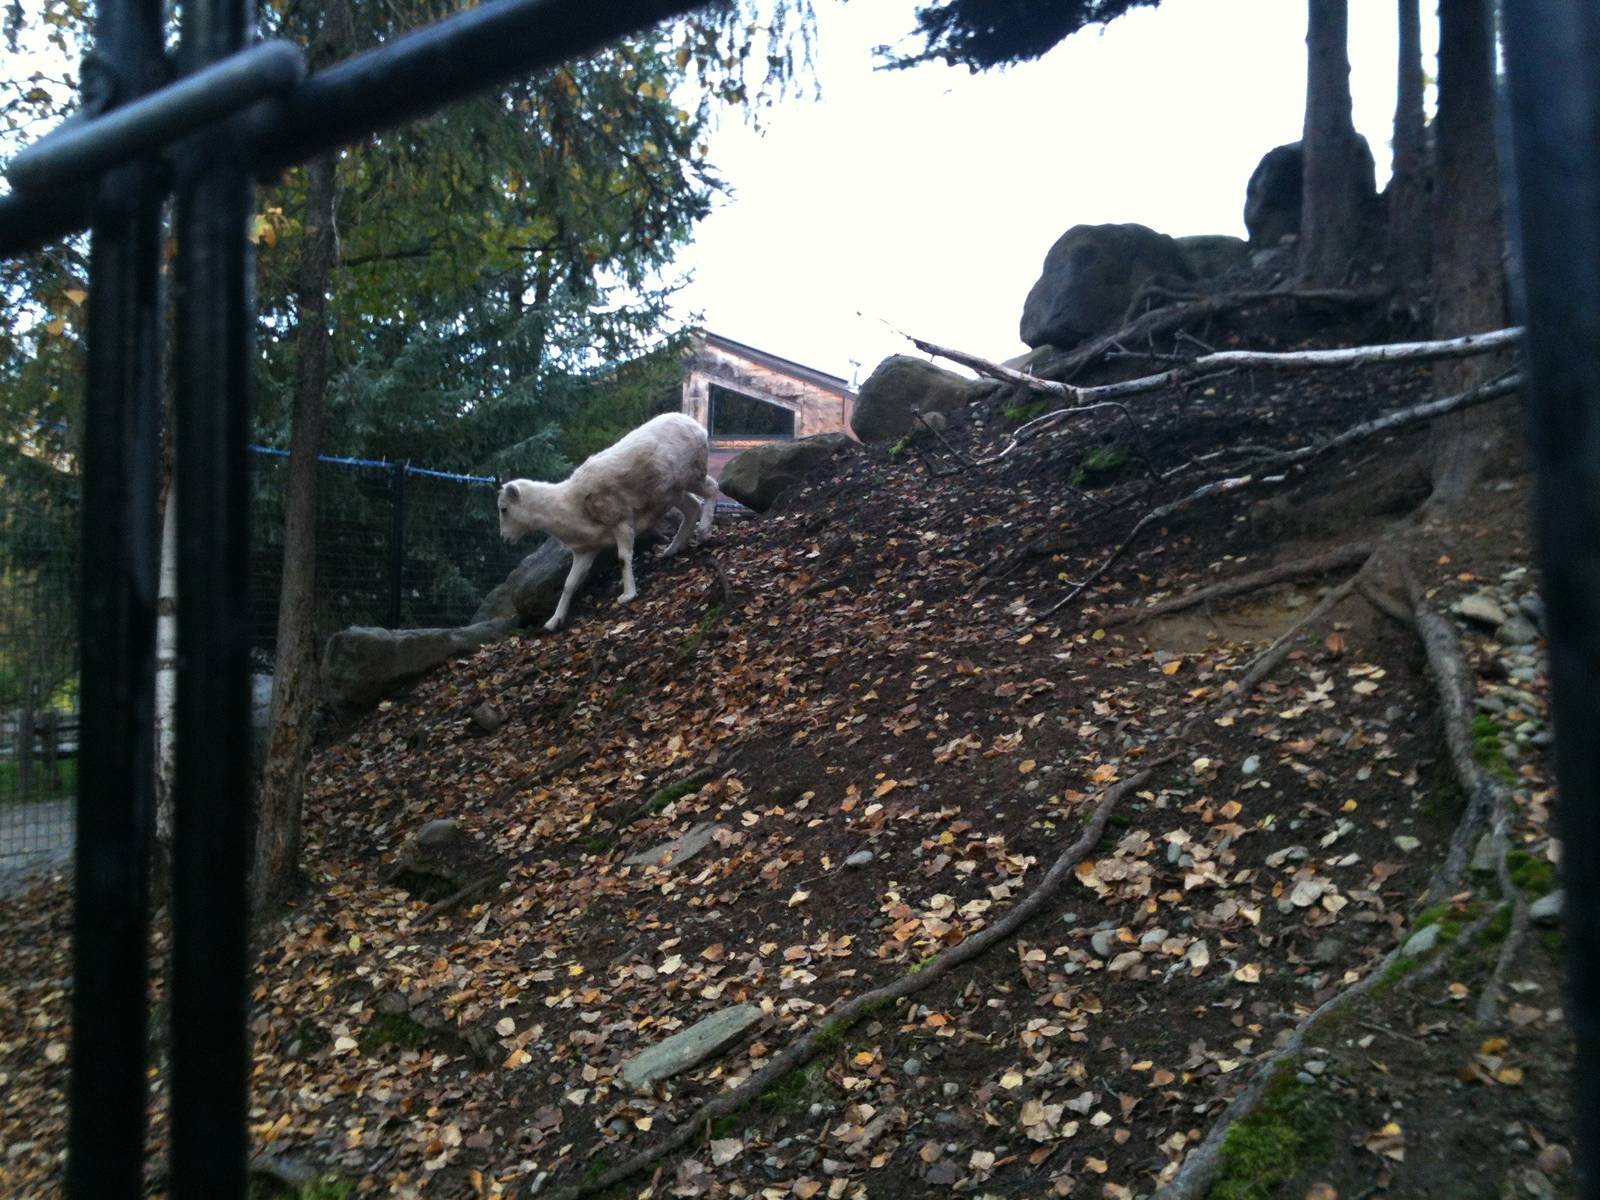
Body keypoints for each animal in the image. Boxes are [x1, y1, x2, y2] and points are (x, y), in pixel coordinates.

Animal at [497, 412, 719, 631]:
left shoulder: (621, 520)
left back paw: (704, 531)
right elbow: (569, 584)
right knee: (692, 507)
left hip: (692, 473)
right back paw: (673, 548)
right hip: (671, 492)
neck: (571, 505)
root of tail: (695, 424)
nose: (505, 537)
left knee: (712, 488)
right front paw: (554, 621)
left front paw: (627, 595)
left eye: (504, 509)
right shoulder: (586, 549)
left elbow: (623, 558)